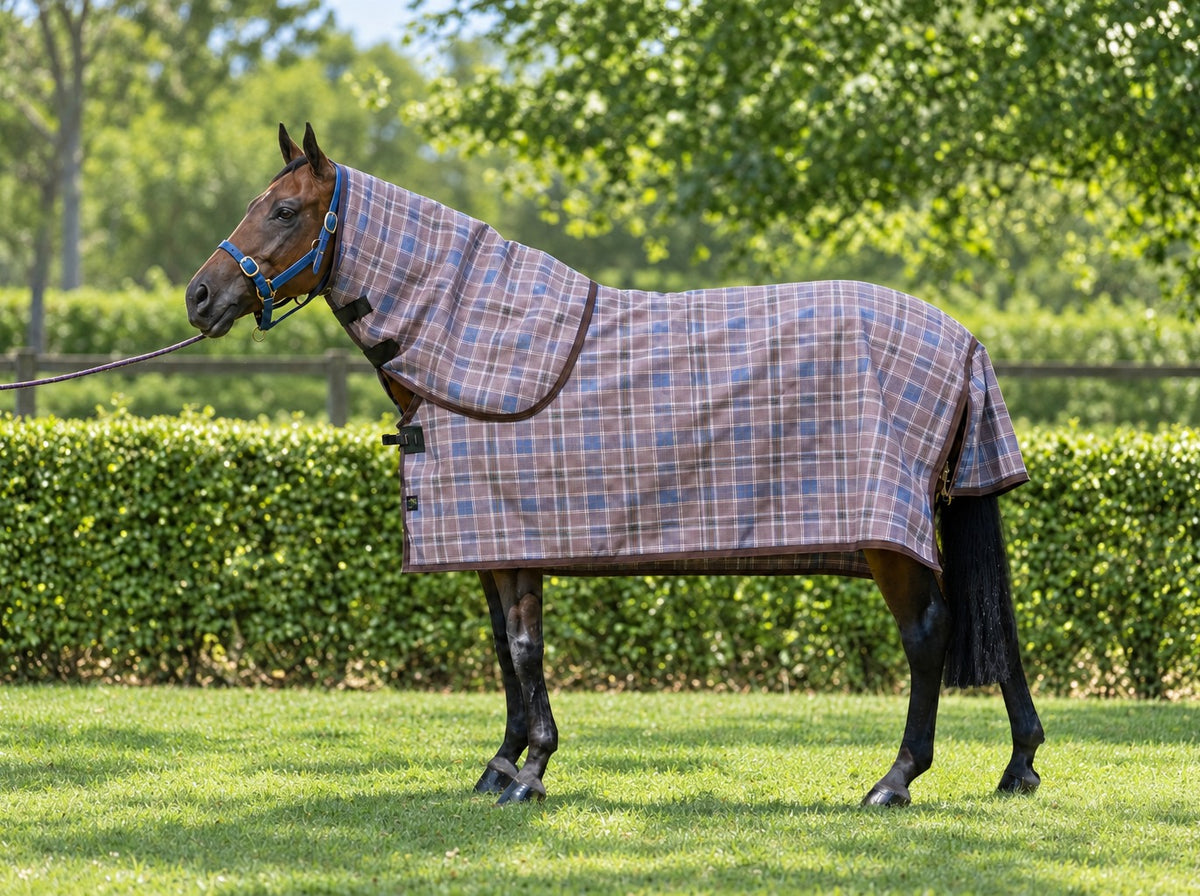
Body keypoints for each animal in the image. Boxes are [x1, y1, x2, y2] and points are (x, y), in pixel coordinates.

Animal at [185, 123, 1044, 807]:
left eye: (284, 211)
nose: (199, 297)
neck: (469, 345)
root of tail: (964, 341)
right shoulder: (493, 541)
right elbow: (505, 650)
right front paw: (501, 765)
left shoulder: (516, 542)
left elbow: (524, 650)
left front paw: (530, 772)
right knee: (990, 627)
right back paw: (1019, 766)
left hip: (888, 539)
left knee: (929, 635)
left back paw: (894, 781)